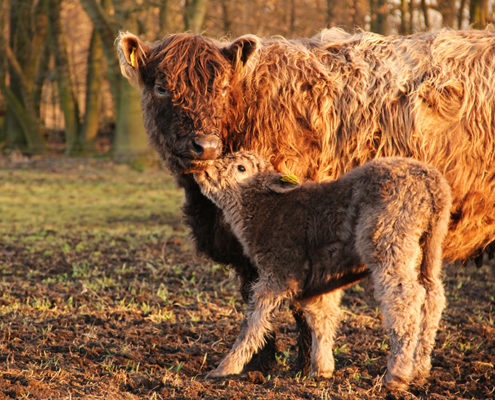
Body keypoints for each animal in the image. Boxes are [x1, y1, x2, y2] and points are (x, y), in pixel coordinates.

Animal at [191, 152, 454, 390]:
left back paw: (397, 376)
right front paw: (321, 370)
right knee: (433, 296)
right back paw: (420, 369)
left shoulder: (279, 272)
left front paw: (225, 368)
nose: (203, 168)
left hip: (389, 241)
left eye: (241, 167)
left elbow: (254, 321)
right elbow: (321, 317)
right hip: (430, 248)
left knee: (406, 299)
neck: (266, 210)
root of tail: (431, 181)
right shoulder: (320, 281)